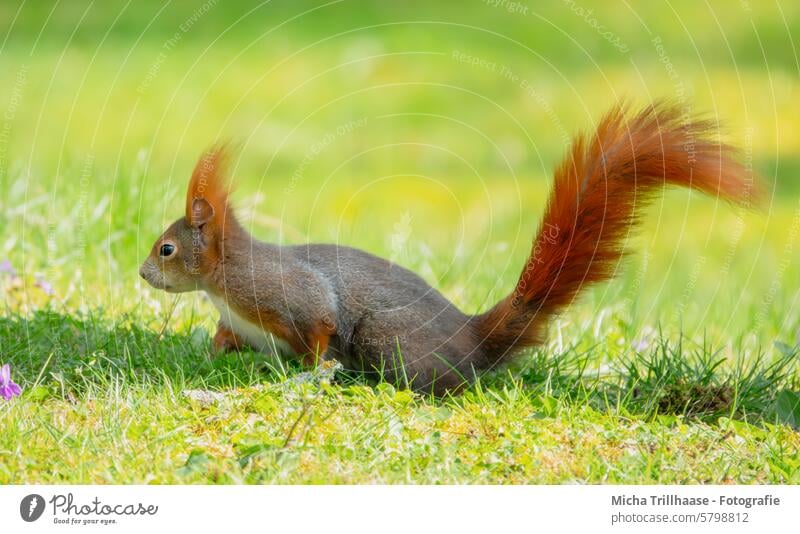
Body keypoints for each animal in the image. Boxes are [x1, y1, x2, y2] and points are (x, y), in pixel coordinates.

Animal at [139, 103, 756, 398]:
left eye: (166, 249)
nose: (143, 275)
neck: (223, 281)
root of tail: (473, 336)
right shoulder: (237, 319)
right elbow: (225, 339)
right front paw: (209, 353)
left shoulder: (286, 291)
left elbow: (319, 327)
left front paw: (313, 372)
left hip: (387, 338)